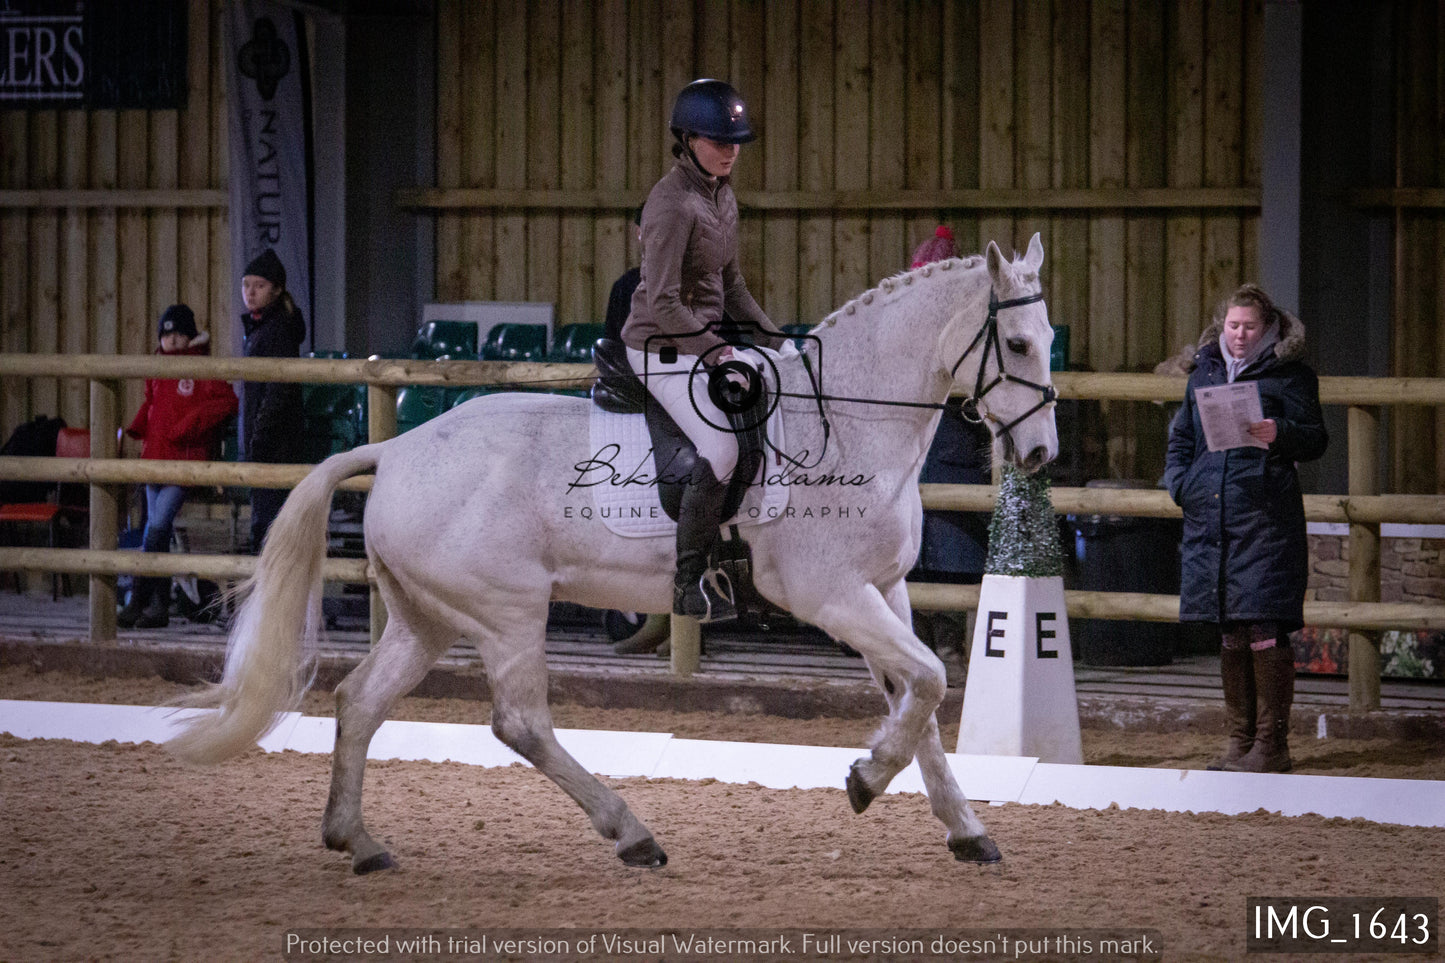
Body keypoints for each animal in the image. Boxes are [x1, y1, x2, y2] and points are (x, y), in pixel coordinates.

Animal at [169, 234, 1057, 867]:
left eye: (1050, 337)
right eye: (1015, 344)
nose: (1042, 453)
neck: (847, 418)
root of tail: (395, 451)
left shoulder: (885, 588)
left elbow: (922, 697)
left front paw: (964, 828)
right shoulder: (828, 593)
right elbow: (929, 680)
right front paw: (866, 778)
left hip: (428, 616)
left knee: (360, 702)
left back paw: (358, 841)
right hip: (506, 610)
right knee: (520, 722)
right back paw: (632, 832)